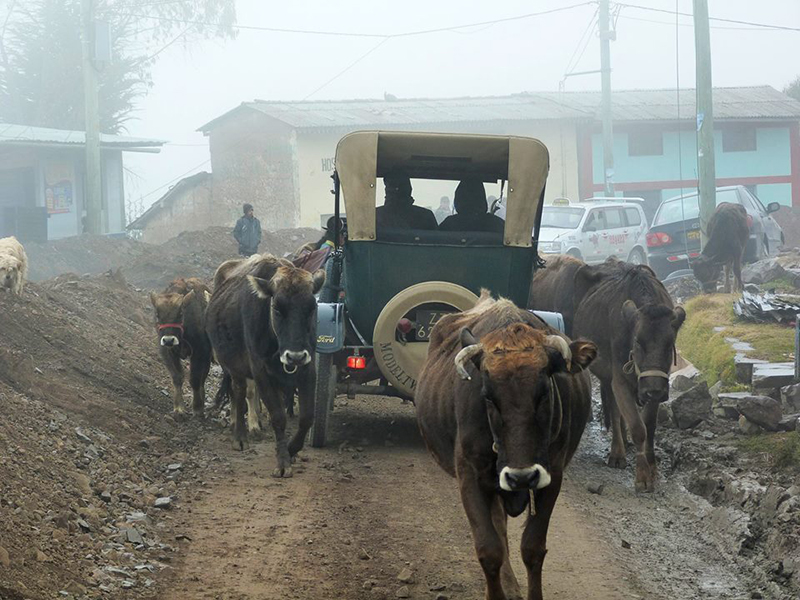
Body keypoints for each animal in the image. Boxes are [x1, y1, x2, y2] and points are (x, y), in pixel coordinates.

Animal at [150, 278, 212, 414]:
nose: (168, 340)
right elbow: (177, 376)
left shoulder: (200, 352)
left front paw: (197, 408)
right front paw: (179, 408)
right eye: (157, 315)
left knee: (202, 379)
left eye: (180, 313)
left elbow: (195, 379)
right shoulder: (167, 352)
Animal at [206, 253, 324, 478]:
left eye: (312, 307)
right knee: (238, 393)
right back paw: (240, 437)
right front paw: (283, 461)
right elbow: (278, 417)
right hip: (233, 368)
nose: (295, 356)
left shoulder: (308, 369)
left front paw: (291, 450)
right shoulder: (261, 373)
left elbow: (307, 417)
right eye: (277, 308)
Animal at [416, 292, 596, 600]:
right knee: (499, 531)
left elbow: (532, 548)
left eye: (544, 392)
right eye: (488, 396)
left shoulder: (552, 476)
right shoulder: (470, 476)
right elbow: (489, 549)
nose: (521, 476)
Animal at [528, 258, 684, 492]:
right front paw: (642, 476)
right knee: (613, 407)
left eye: (669, 343)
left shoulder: (655, 383)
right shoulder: (620, 378)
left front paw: (653, 468)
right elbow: (638, 427)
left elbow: (649, 426)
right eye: (638, 341)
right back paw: (618, 453)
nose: (653, 390)